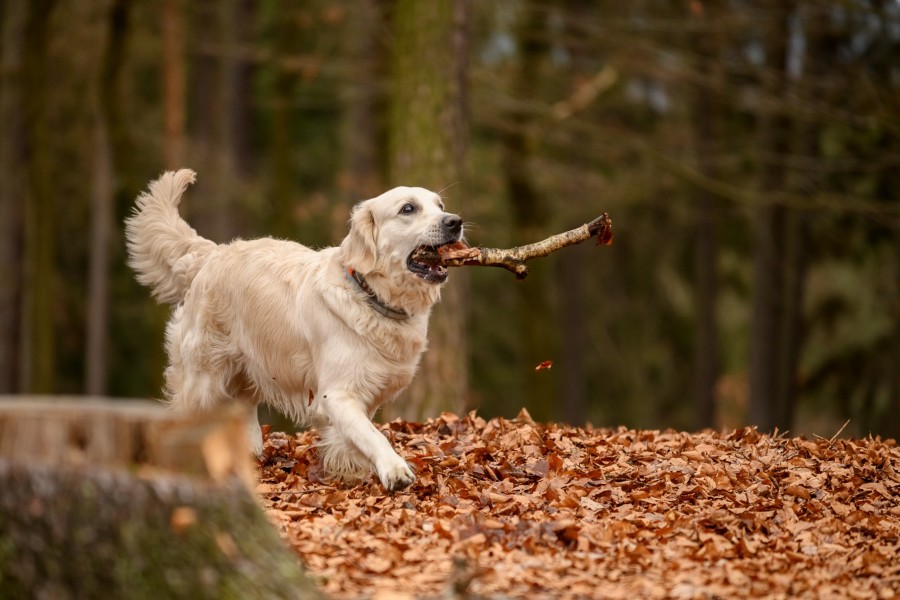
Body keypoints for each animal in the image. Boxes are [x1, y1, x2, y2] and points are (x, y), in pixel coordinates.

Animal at [126, 170, 464, 492]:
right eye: (408, 208)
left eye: (440, 205)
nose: (455, 222)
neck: (370, 295)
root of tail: (213, 252)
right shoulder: (336, 394)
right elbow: (372, 434)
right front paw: (393, 470)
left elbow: (357, 434)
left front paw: (349, 470)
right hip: (203, 378)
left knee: (244, 408)